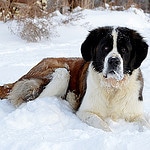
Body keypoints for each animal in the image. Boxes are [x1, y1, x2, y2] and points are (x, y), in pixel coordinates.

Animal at [0, 26, 149, 131]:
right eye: (105, 48)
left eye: (124, 50)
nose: (113, 61)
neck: (113, 87)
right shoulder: (85, 112)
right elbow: (104, 126)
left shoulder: (134, 113)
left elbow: (145, 124)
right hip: (61, 73)